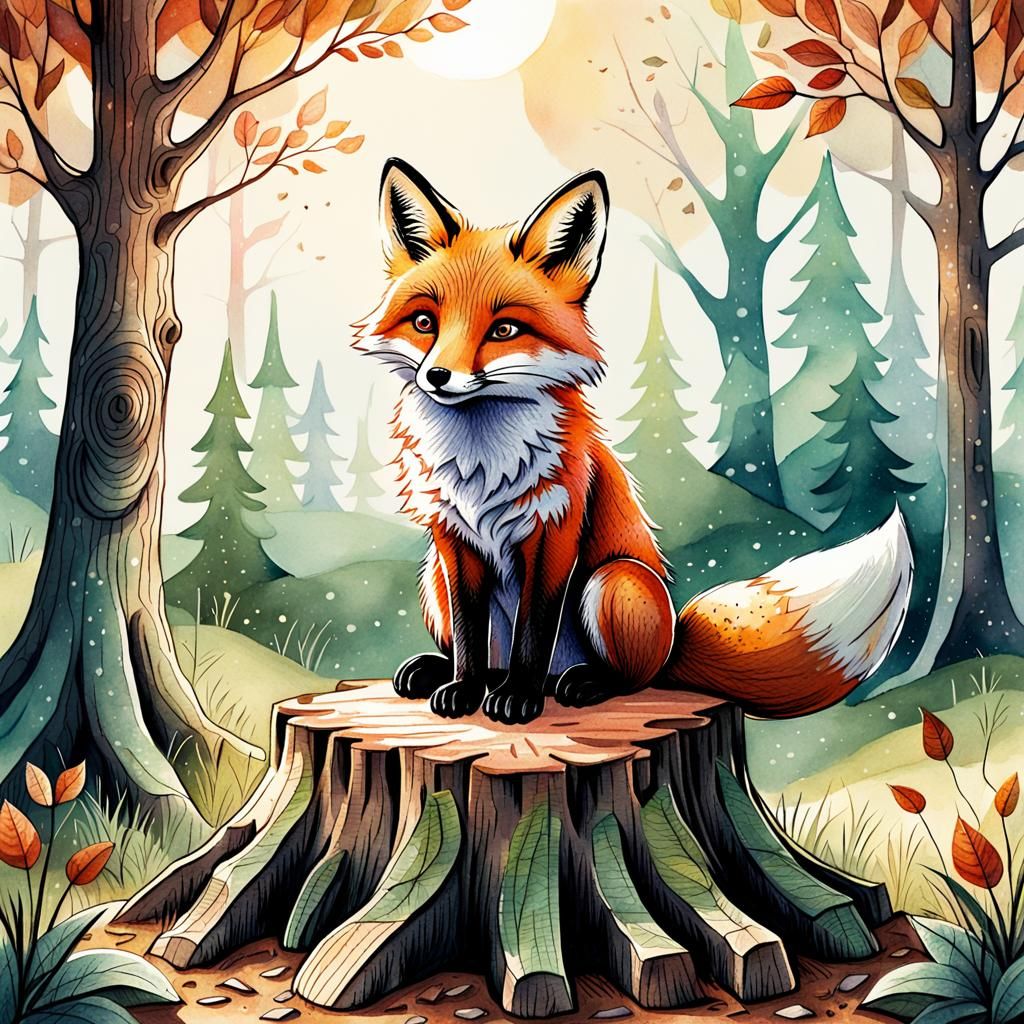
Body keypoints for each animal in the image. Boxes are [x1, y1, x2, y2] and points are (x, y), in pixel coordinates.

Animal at [354, 157, 914, 726]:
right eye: (425, 322)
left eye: (504, 330)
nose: (437, 376)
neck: (483, 464)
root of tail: (674, 644)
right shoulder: (452, 537)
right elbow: (470, 635)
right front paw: (463, 690)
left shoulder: (555, 531)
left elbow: (533, 632)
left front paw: (519, 697)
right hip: (433, 581)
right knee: (484, 652)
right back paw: (445, 672)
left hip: (614, 581)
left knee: (630, 677)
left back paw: (577, 683)